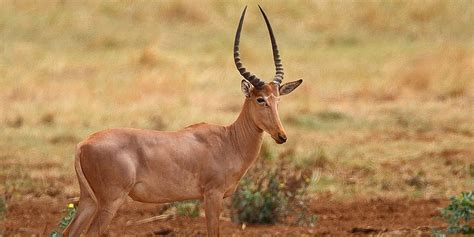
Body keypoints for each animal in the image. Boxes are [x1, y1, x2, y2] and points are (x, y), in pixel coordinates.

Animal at [63, 5, 302, 237]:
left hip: (89, 200)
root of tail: (82, 144)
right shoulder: (212, 196)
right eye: (260, 99)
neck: (228, 140)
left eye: (278, 99)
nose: (281, 136)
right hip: (111, 201)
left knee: (68, 232)